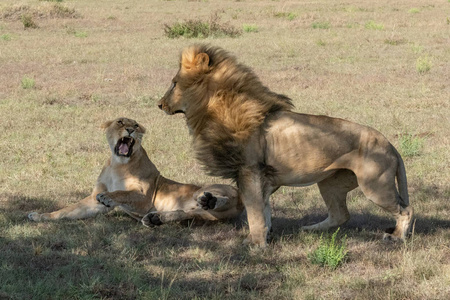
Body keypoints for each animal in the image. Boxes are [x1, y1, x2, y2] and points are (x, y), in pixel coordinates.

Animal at [28, 117, 243, 225]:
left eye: (137, 125)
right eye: (120, 122)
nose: (131, 129)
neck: (118, 163)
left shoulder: (146, 199)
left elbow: (123, 193)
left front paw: (109, 197)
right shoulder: (93, 201)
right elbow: (68, 210)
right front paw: (40, 216)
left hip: (208, 192)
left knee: (214, 199)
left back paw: (209, 200)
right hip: (204, 214)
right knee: (187, 213)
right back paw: (156, 219)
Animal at [158, 44, 414, 246]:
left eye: (174, 84)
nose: (159, 104)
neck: (213, 110)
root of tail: (390, 145)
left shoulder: (249, 170)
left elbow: (254, 210)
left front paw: (256, 244)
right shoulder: (262, 176)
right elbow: (263, 209)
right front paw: (263, 237)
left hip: (374, 185)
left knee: (406, 209)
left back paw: (396, 237)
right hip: (330, 183)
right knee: (340, 214)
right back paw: (310, 229)